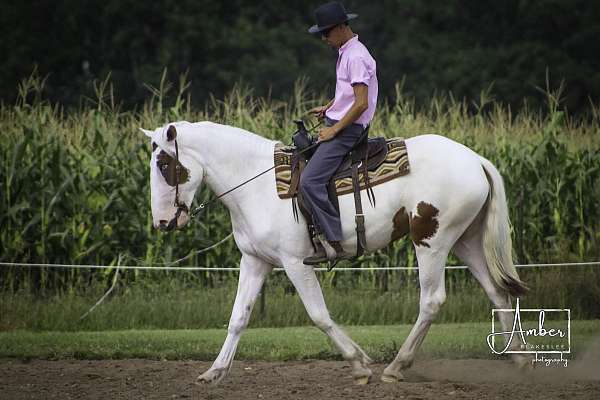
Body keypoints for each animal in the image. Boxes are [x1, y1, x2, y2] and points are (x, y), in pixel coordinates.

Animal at [143, 121, 528, 384]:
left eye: (164, 165)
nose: (162, 222)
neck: (256, 184)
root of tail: (476, 159)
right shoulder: (255, 261)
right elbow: (238, 317)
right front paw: (215, 371)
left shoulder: (295, 263)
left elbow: (319, 315)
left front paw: (359, 363)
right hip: (466, 241)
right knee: (497, 293)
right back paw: (520, 359)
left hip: (432, 242)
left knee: (432, 301)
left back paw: (396, 366)